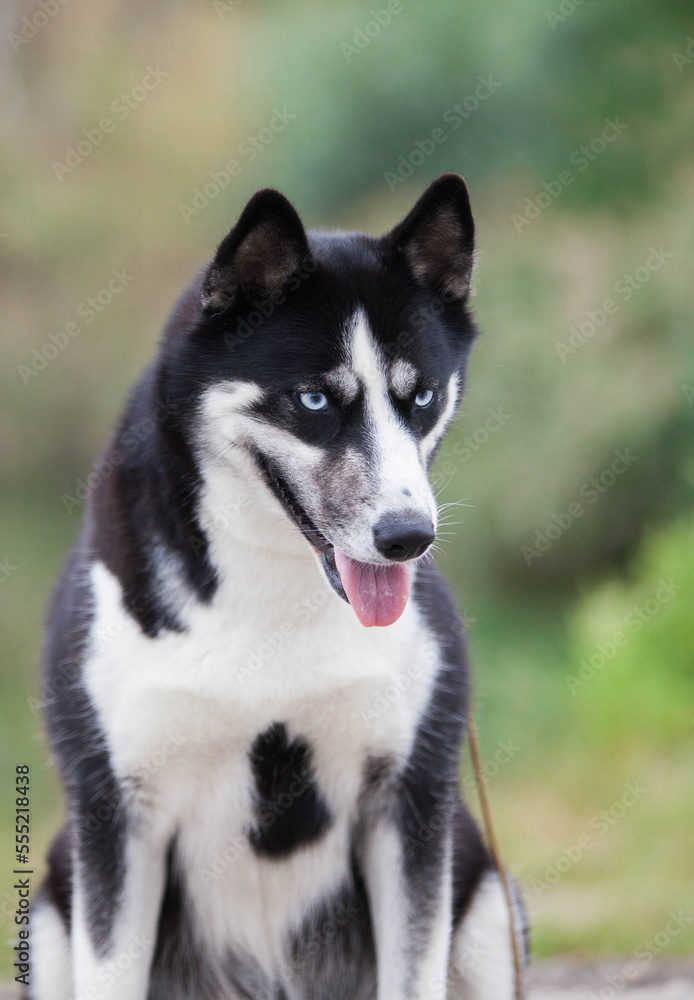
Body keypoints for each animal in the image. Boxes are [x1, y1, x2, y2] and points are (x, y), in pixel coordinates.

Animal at [31, 174, 528, 1000]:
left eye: (422, 397)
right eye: (315, 401)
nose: (408, 536)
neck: (273, 597)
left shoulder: (412, 802)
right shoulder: (115, 820)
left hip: (488, 893)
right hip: (49, 902)